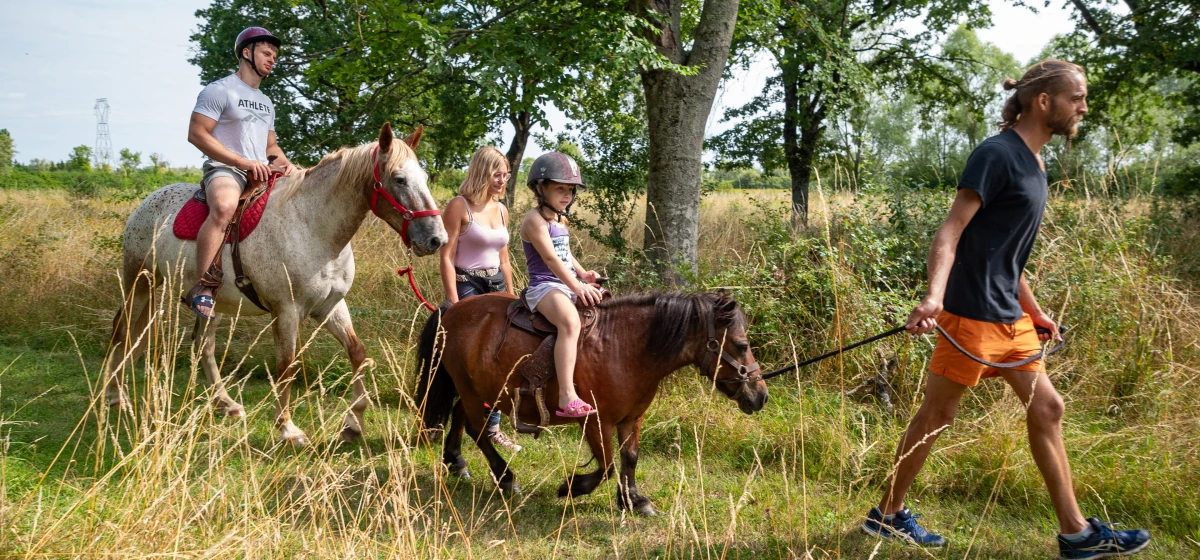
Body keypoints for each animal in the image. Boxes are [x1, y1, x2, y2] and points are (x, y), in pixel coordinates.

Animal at [103, 124, 448, 446]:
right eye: (399, 179)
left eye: (424, 177)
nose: (437, 239)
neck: (312, 227)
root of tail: (147, 202)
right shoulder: (286, 311)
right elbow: (286, 366)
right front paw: (288, 429)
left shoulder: (330, 307)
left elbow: (358, 354)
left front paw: (353, 423)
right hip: (140, 281)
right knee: (122, 329)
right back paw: (116, 396)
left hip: (210, 304)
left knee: (204, 345)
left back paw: (226, 404)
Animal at [417, 293, 763, 518]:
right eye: (741, 344)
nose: (760, 395)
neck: (624, 347)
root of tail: (452, 308)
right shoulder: (596, 422)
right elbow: (607, 465)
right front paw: (572, 487)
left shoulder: (632, 419)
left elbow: (629, 458)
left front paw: (633, 500)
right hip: (472, 389)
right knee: (476, 428)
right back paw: (505, 477)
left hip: (481, 390)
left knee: (461, 416)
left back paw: (457, 461)